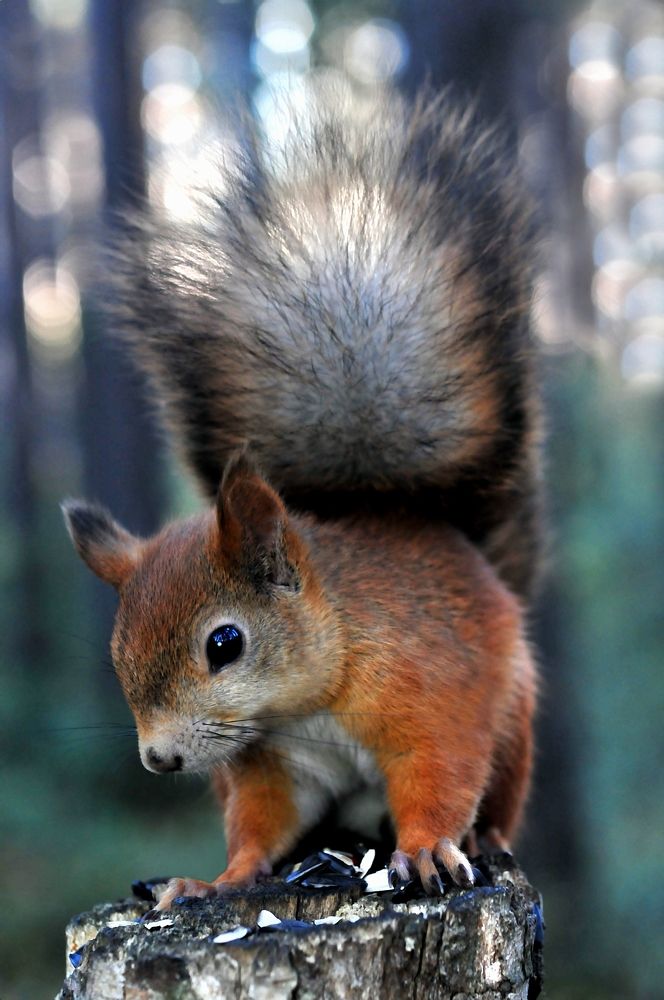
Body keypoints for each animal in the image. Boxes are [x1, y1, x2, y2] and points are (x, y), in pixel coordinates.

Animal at [63, 88, 541, 910]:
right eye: (117, 652)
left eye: (225, 643)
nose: (159, 759)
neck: (310, 697)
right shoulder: (272, 763)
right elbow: (262, 823)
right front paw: (215, 881)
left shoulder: (432, 694)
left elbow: (440, 774)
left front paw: (429, 850)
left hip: (514, 715)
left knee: (497, 797)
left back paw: (482, 839)